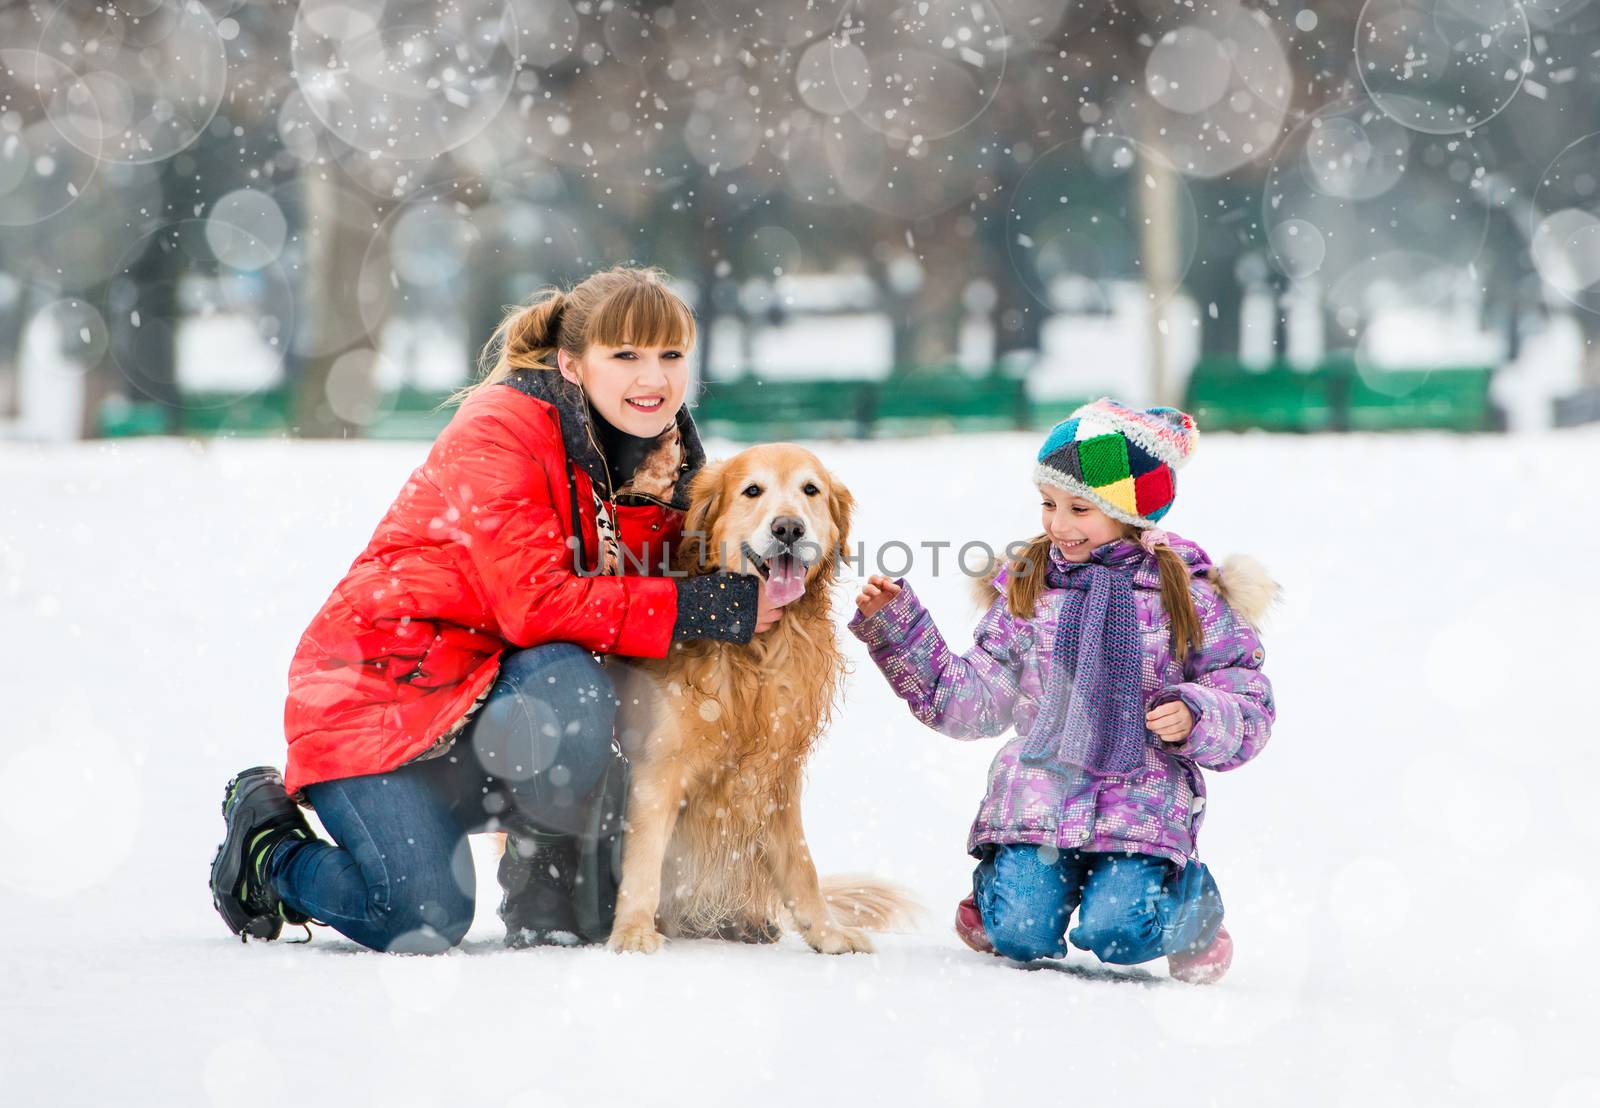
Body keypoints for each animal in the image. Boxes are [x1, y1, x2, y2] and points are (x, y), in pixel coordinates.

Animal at [604, 441, 921, 954]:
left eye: (811, 490)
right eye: (752, 491)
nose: (788, 528)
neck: (754, 648)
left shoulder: (777, 771)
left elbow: (801, 864)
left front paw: (827, 932)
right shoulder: (658, 766)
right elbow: (644, 859)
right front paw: (632, 930)